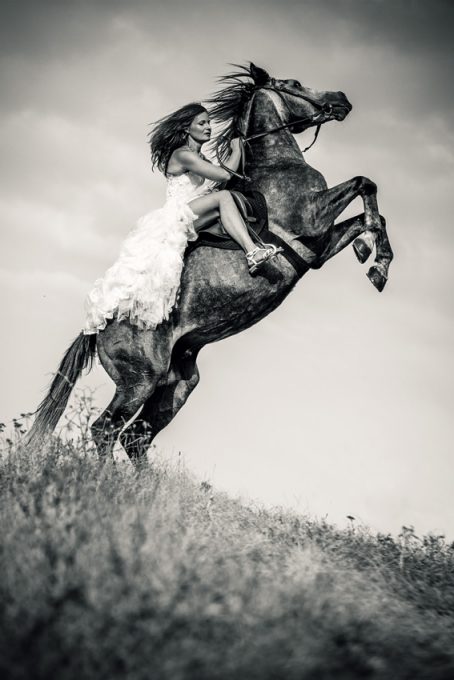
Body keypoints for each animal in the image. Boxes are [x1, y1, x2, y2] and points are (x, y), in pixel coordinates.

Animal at [25, 62, 394, 462]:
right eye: (295, 83)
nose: (341, 99)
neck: (277, 163)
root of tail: (96, 325)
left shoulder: (317, 248)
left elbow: (370, 216)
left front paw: (373, 260)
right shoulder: (311, 218)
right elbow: (364, 183)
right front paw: (374, 257)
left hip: (179, 382)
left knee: (136, 436)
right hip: (140, 380)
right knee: (106, 429)